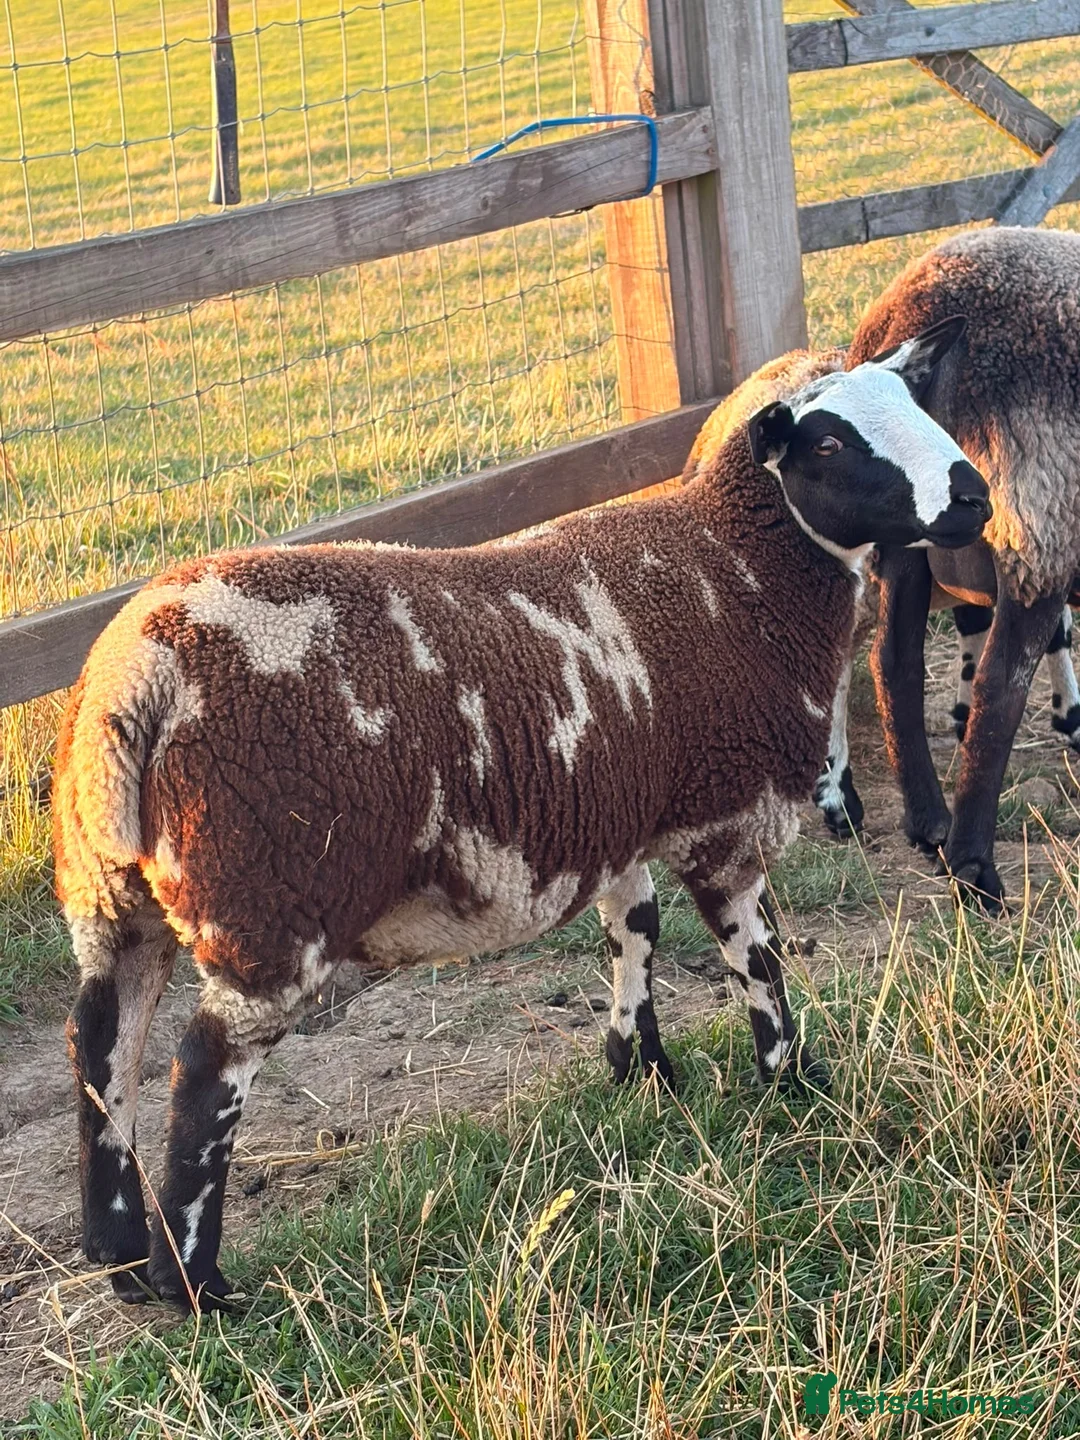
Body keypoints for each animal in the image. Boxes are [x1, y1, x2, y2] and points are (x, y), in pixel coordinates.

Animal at [56, 325, 987, 1312]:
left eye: (917, 402)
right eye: (830, 443)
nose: (972, 496)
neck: (730, 564)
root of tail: (140, 673)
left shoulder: (622, 806)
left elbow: (634, 929)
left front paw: (641, 1069)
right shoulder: (725, 817)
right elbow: (758, 961)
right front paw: (792, 1085)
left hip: (113, 896)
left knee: (102, 1043)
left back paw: (117, 1253)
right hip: (269, 897)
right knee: (202, 1071)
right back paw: (196, 1284)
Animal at [821, 227, 1080, 909]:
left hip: (908, 542)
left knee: (894, 663)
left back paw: (927, 824)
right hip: (1037, 524)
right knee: (998, 690)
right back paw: (973, 869)